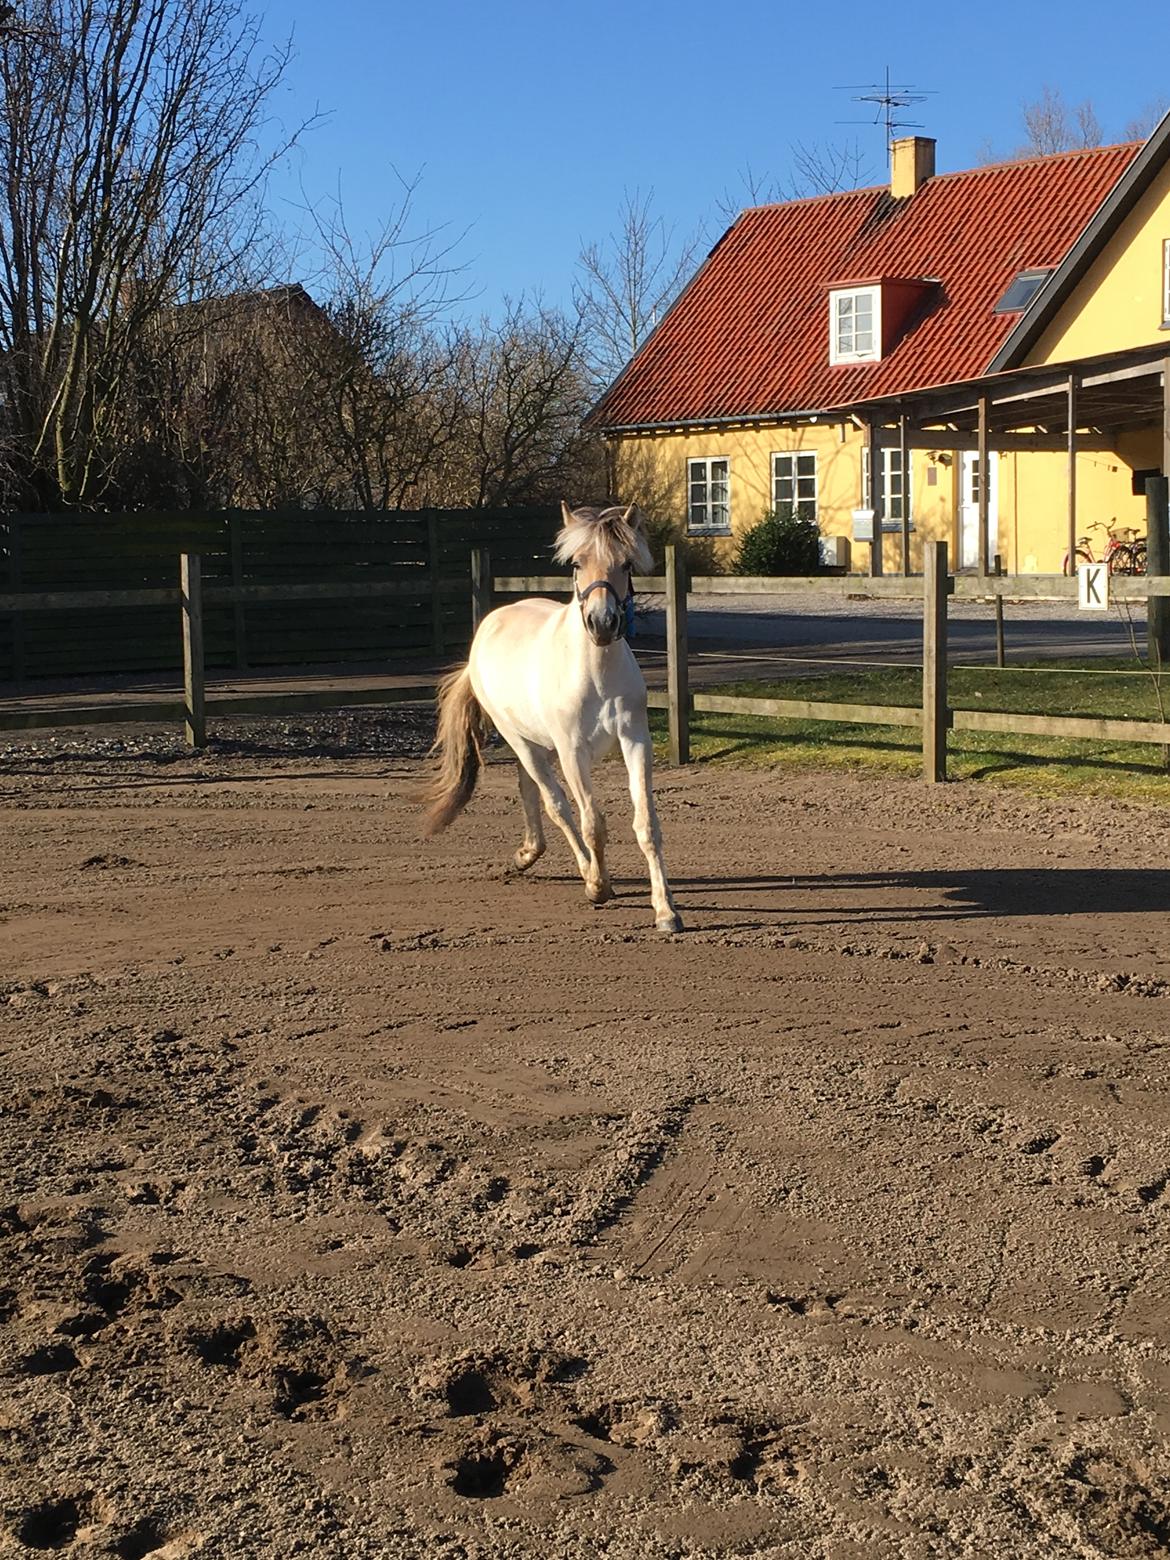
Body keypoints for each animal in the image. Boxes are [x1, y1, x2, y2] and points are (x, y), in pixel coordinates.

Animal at [424, 505, 686, 929]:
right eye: (578, 563)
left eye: (627, 563)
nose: (602, 623)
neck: (595, 673)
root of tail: (489, 626)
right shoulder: (572, 751)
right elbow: (591, 823)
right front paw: (599, 887)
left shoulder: (635, 741)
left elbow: (646, 824)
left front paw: (666, 911)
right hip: (524, 741)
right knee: (556, 804)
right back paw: (583, 872)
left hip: (537, 744)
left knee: (529, 789)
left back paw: (528, 853)